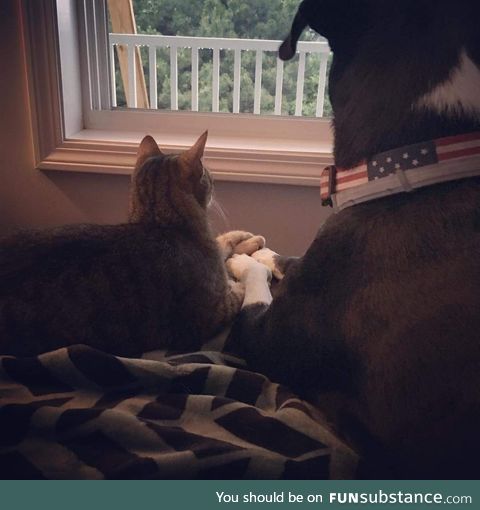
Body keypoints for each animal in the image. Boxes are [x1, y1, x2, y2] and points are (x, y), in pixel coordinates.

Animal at [0, 132, 262, 358]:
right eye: (208, 175)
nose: (214, 181)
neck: (159, 223)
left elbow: (223, 242)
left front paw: (247, 239)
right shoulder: (211, 313)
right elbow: (238, 288)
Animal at [227, 0, 480, 478]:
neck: (417, 165)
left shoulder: (263, 337)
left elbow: (254, 285)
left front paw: (241, 260)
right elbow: (286, 259)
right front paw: (264, 253)